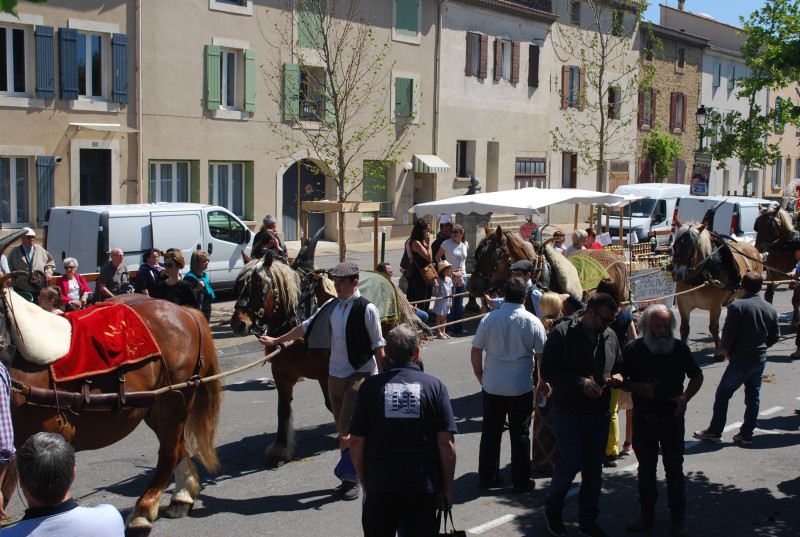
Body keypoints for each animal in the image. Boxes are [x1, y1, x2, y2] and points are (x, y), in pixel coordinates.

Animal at [0, 231, 222, 536]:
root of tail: (185, 311)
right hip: (152, 406)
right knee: (177, 446)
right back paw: (182, 497)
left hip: (174, 401)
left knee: (168, 451)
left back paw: (143, 512)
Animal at [668, 220, 764, 358]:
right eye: (675, 245)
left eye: (693, 247)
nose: (677, 274)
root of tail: (750, 246)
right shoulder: (683, 304)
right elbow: (684, 329)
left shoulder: (715, 306)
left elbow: (713, 328)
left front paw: (719, 352)